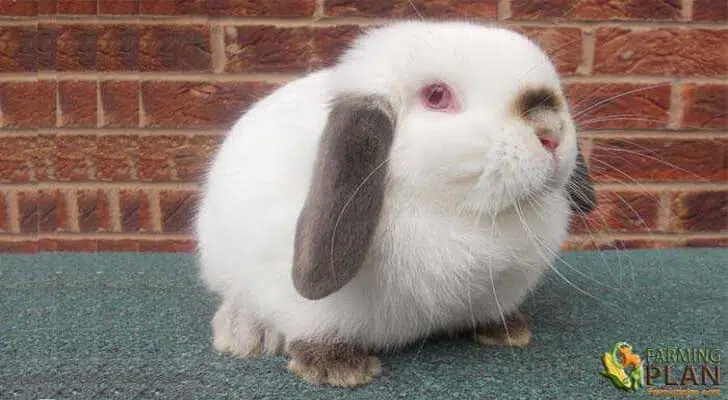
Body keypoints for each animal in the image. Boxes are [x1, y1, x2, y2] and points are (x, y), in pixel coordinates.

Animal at [196, 19, 596, 388]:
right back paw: (245, 333)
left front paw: (507, 329)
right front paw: (336, 367)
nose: (551, 133)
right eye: (437, 96)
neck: (465, 215)